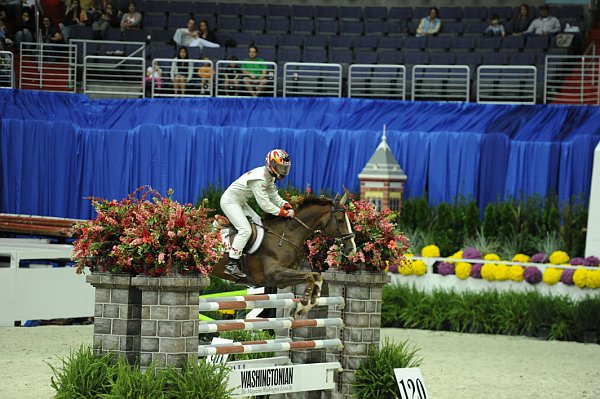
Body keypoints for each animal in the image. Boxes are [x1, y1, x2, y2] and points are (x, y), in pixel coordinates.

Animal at [210, 192, 356, 318]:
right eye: (340, 220)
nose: (351, 249)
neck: (286, 235)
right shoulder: (275, 275)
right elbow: (309, 276)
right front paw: (302, 305)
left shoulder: (283, 279)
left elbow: (317, 276)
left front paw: (308, 305)